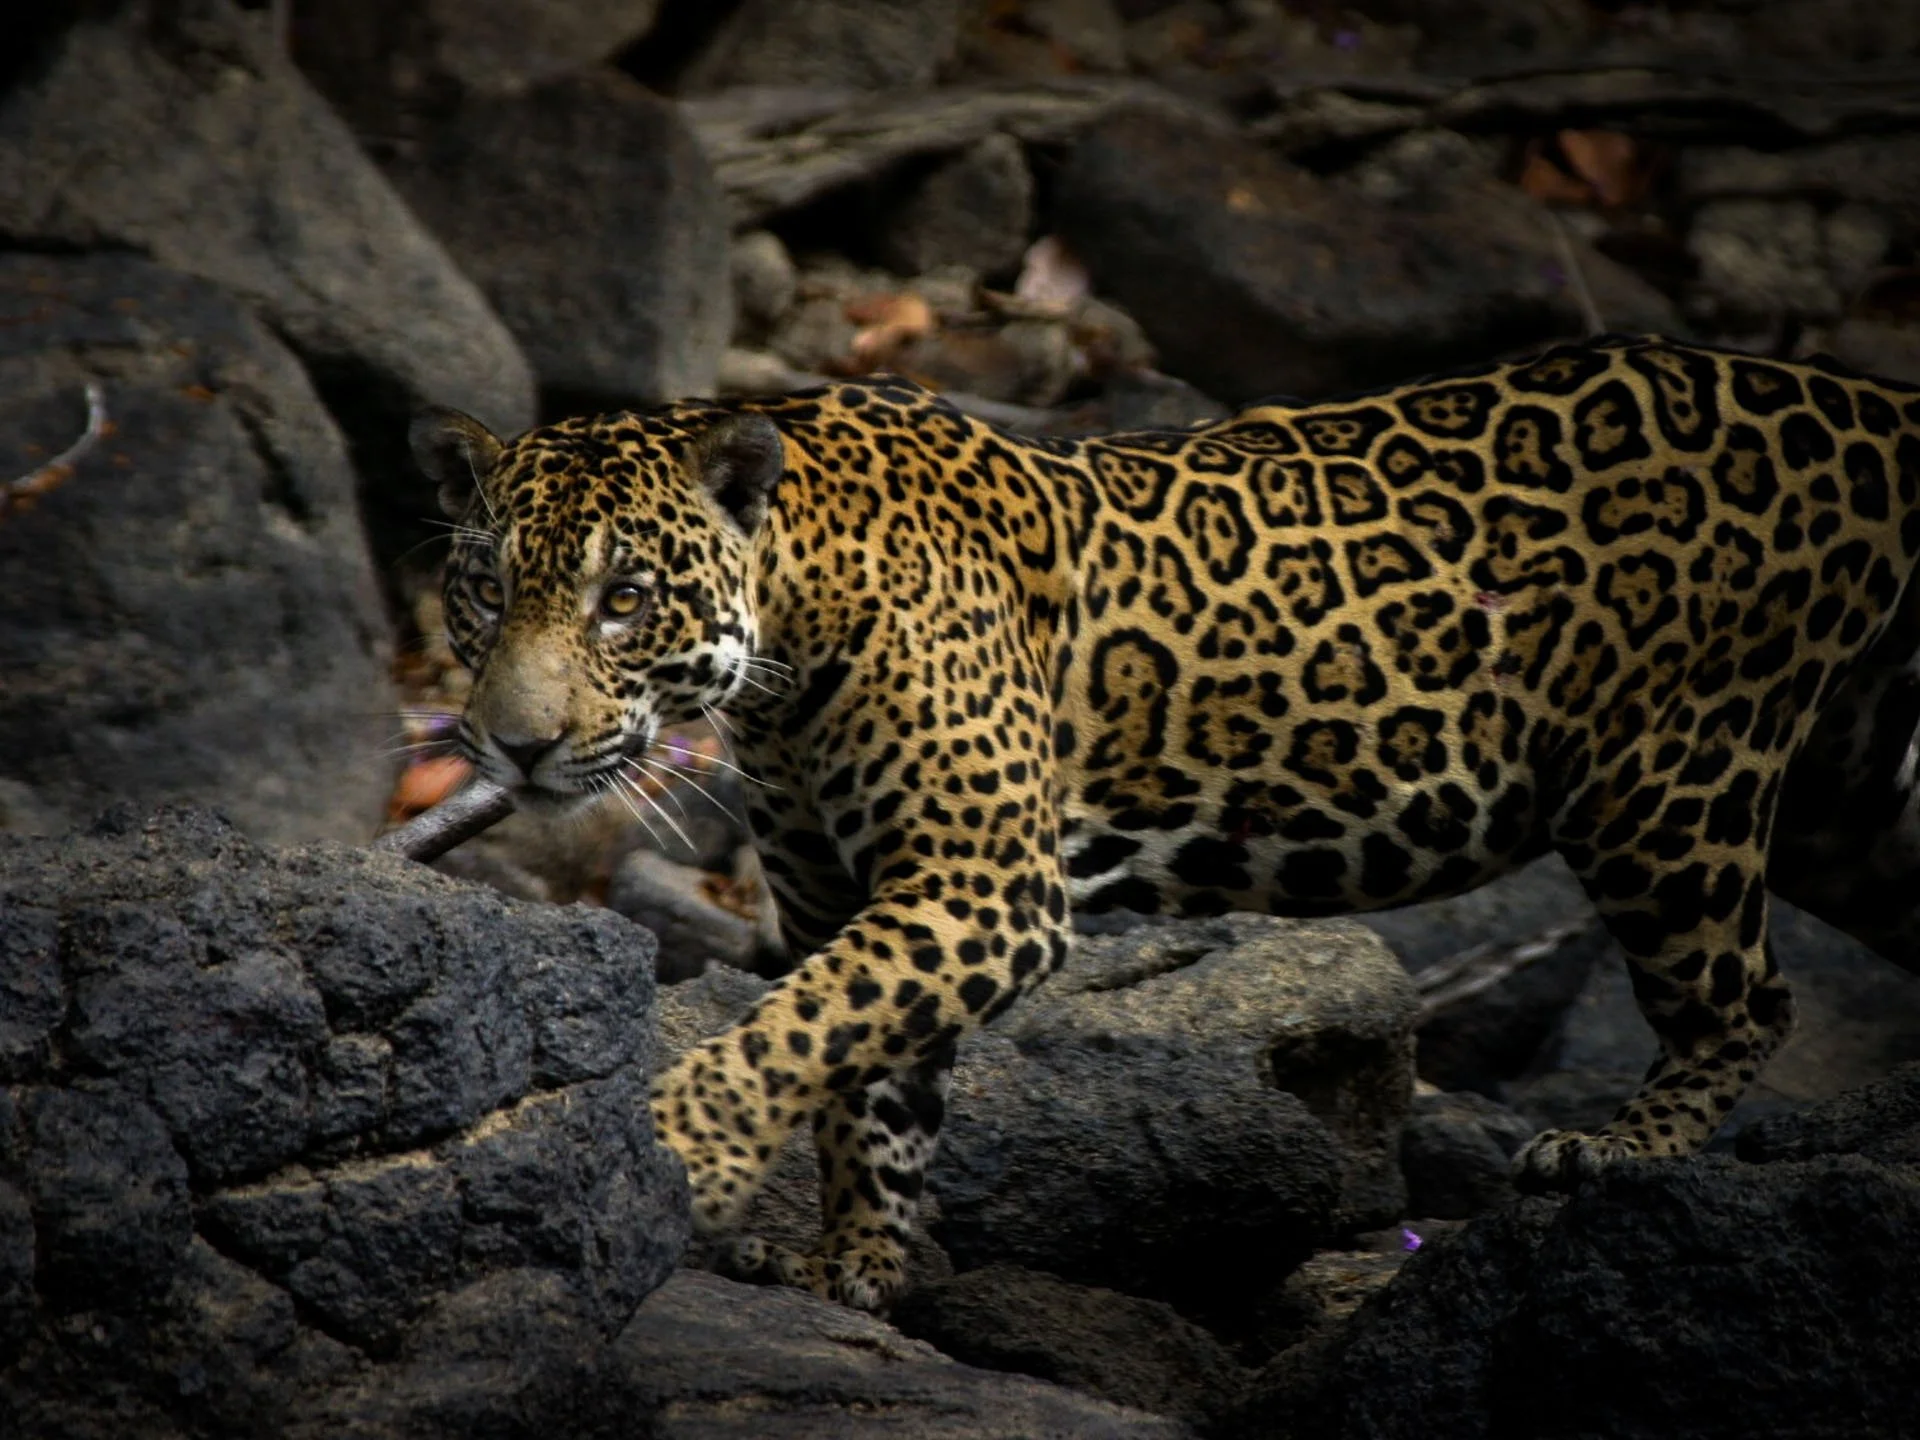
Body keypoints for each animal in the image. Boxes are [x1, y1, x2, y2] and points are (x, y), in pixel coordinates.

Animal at [411, 334, 1920, 1313]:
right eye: (485, 591)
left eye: (624, 600)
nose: (515, 744)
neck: (786, 634)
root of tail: (1871, 399)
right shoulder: (849, 894)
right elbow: (866, 1078)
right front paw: (858, 1269)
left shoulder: (986, 886)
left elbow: (792, 1029)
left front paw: (688, 1154)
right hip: (1848, 805)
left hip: (1668, 780)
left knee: (1747, 999)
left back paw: (1617, 1151)